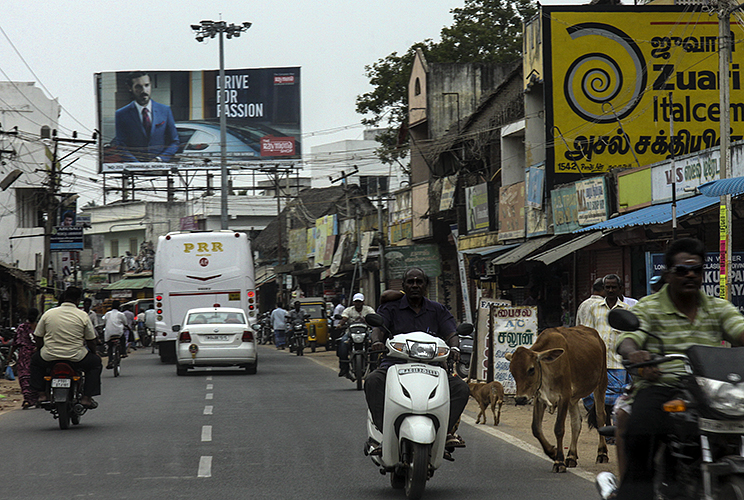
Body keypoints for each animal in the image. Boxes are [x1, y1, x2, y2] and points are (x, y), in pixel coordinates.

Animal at [502, 324, 608, 472]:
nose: (520, 399)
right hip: (574, 398)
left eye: (531, 369)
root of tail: (596, 335)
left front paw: (559, 461)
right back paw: (571, 456)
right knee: (576, 423)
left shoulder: (564, 396)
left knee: (600, 417)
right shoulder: (539, 398)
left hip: (601, 384)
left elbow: (558, 429)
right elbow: (536, 428)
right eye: (512, 371)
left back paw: (602, 453)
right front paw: (552, 452)